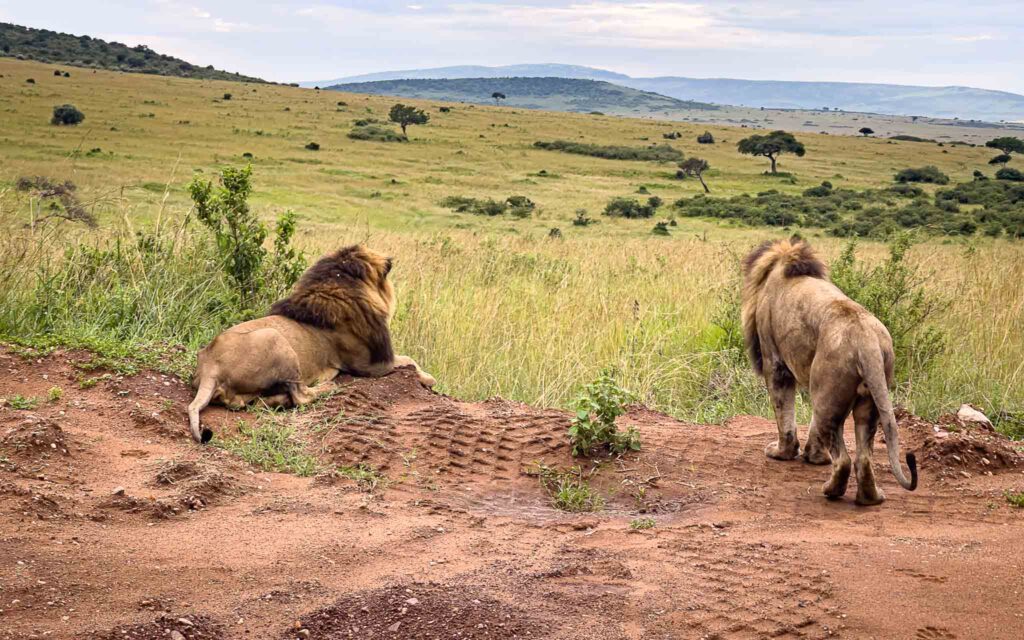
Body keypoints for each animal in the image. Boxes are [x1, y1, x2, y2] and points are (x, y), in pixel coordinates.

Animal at [188, 241, 436, 442]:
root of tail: (210, 366)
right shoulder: (371, 365)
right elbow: (410, 360)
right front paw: (429, 379)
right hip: (276, 338)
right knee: (302, 396)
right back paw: (328, 386)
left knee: (258, 402)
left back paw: (278, 400)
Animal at [741, 235, 917, 503]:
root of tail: (865, 339)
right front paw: (815, 457)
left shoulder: (775, 363)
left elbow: (784, 413)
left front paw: (783, 453)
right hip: (865, 398)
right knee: (863, 457)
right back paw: (870, 498)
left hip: (828, 398)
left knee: (843, 459)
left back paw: (831, 490)